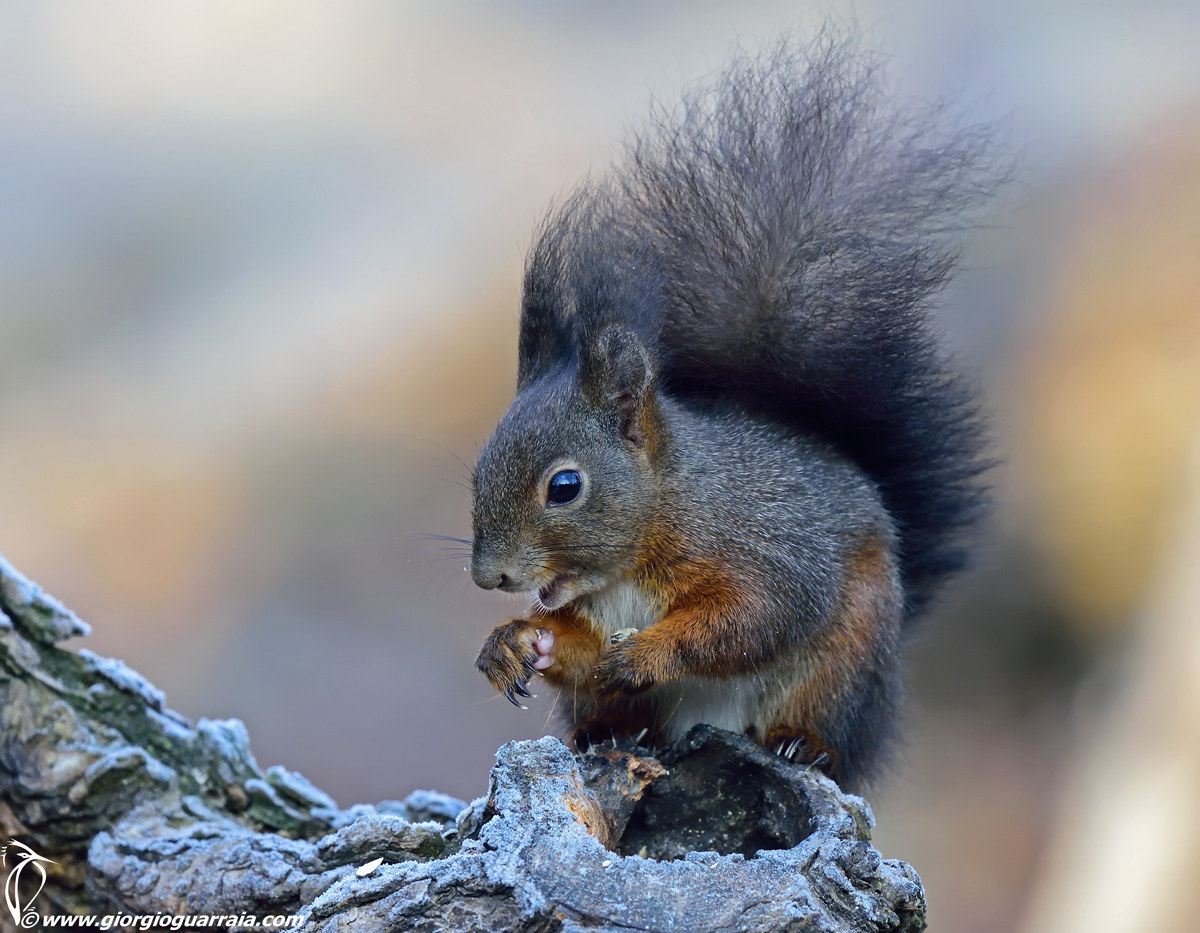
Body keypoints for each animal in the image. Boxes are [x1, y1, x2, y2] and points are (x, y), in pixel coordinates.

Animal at [467, 33, 1001, 790]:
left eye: (564, 487)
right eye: (477, 474)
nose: (491, 577)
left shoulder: (761, 550)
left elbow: (747, 619)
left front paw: (646, 654)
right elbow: (576, 648)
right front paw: (512, 644)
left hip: (846, 658)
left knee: (828, 731)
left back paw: (803, 747)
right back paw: (608, 732)